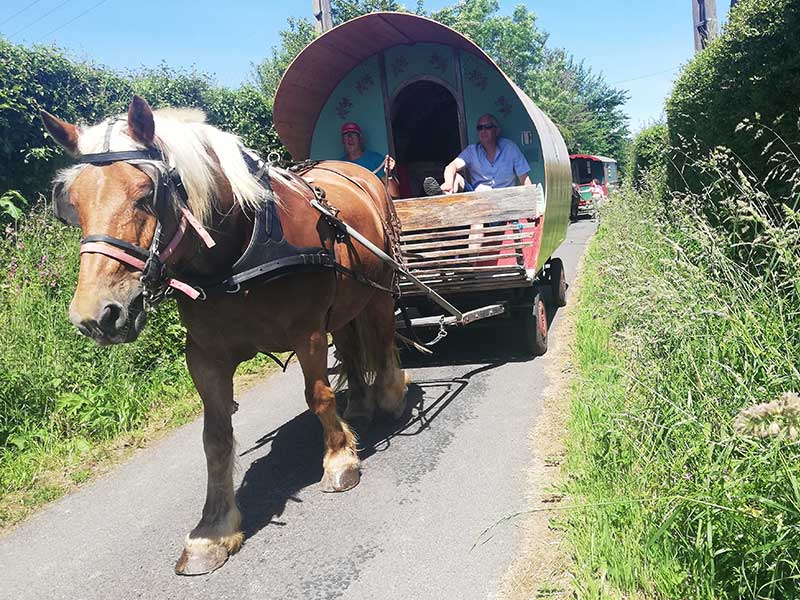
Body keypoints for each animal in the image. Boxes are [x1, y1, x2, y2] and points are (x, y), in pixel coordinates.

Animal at [39, 97, 406, 576]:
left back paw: (390, 397)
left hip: (380, 287)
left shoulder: (307, 331)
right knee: (348, 343)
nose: (96, 315)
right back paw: (359, 407)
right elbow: (214, 437)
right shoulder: (205, 356)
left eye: (145, 195)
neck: (240, 253)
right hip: (347, 300)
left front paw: (339, 461)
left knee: (383, 339)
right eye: (73, 205)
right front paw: (212, 531)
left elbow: (319, 396)